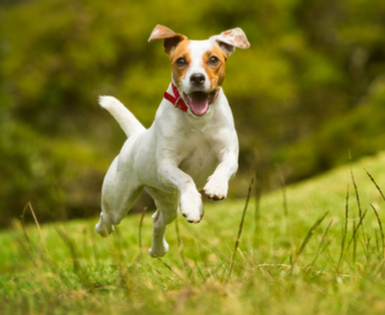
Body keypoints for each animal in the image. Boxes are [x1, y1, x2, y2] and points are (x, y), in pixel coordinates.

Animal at [94, 24, 248, 256]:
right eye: (181, 61)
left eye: (213, 59)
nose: (197, 78)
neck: (197, 121)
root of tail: (135, 136)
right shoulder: (166, 165)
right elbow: (186, 178)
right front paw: (193, 204)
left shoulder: (229, 152)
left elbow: (224, 167)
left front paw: (216, 187)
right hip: (118, 199)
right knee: (107, 219)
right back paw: (104, 229)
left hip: (166, 199)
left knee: (158, 220)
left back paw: (158, 250)